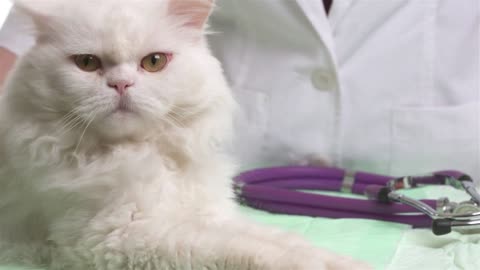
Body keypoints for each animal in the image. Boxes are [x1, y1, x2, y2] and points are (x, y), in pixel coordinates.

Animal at [0, 1, 372, 268]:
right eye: (87, 63)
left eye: (154, 62)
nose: (121, 84)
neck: (149, 154)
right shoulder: (121, 236)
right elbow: (248, 250)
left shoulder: (207, 215)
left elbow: (277, 239)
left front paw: (339, 260)